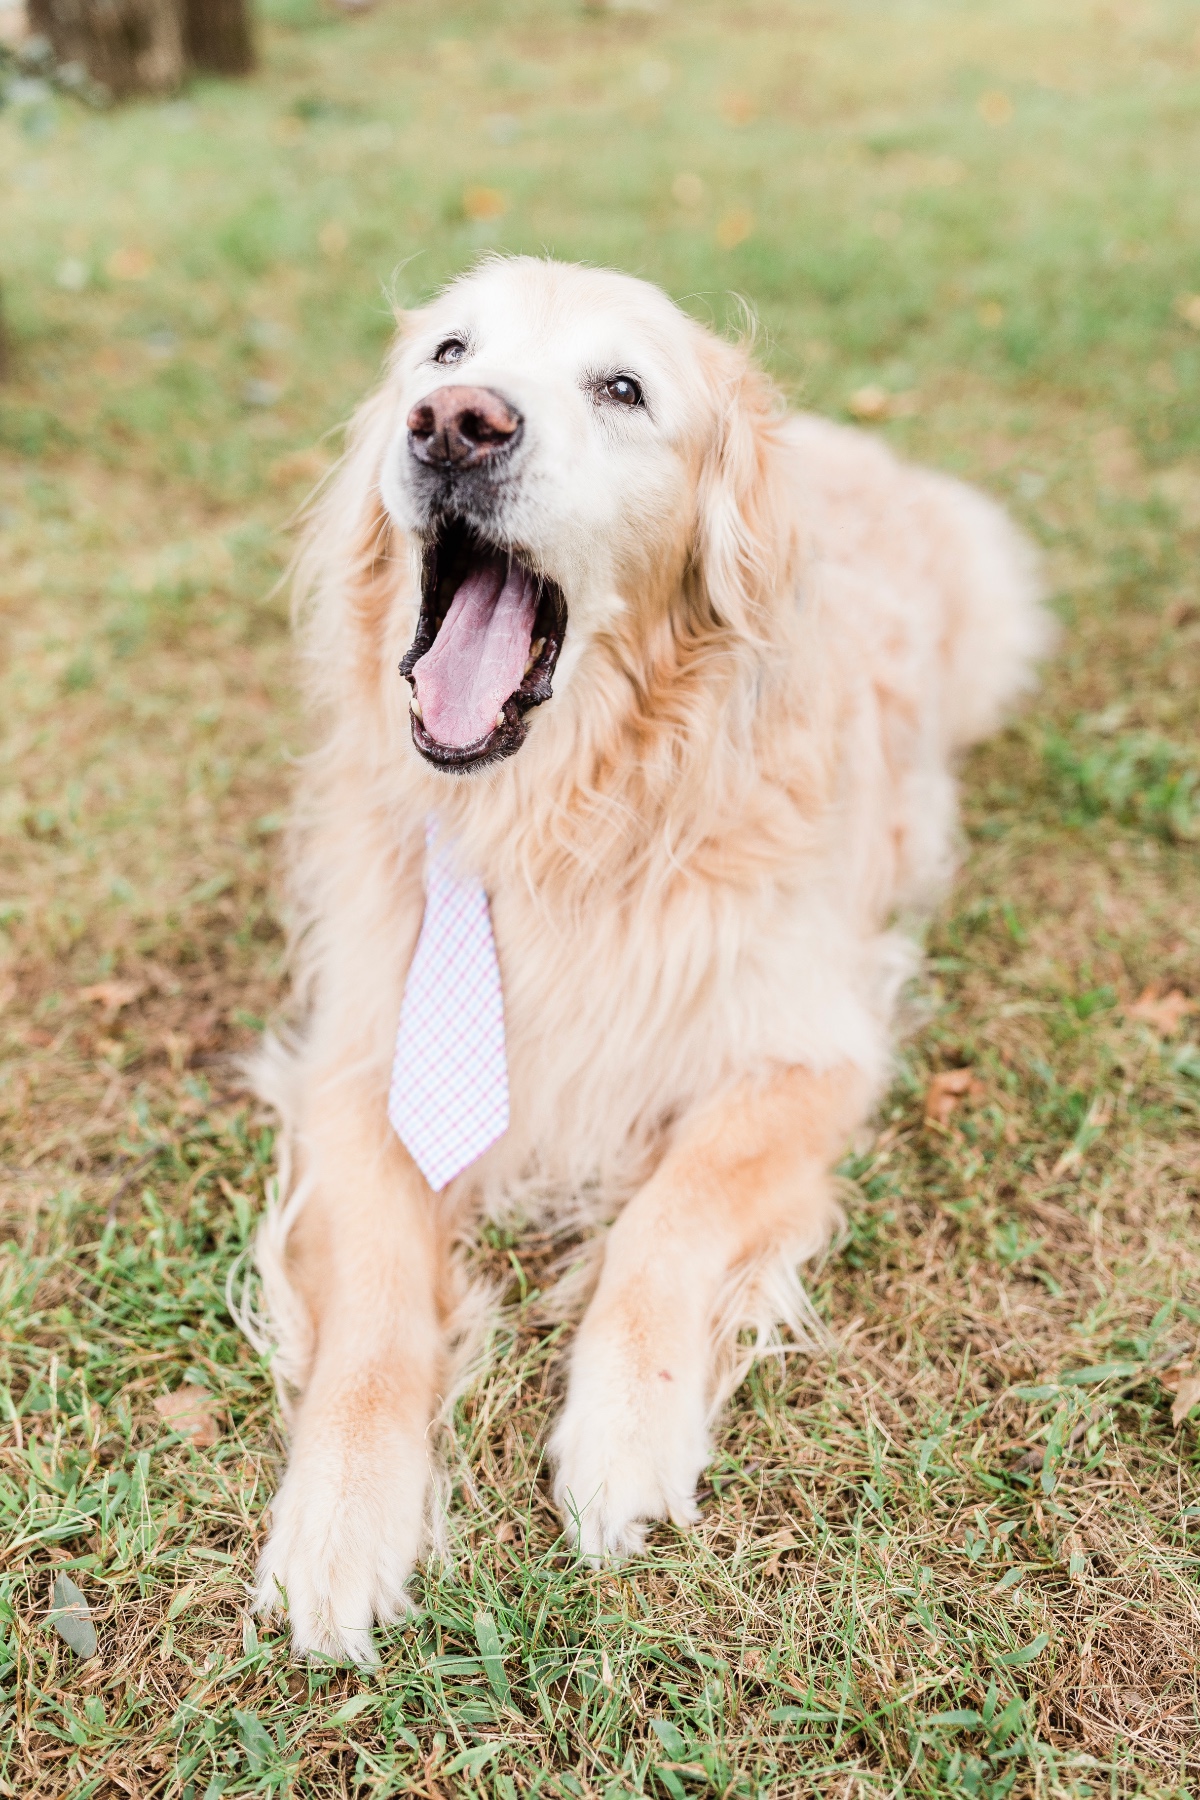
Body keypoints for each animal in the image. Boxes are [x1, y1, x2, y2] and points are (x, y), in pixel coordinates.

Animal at [246, 250, 1050, 1656]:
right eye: (447, 352)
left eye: (622, 388)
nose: (455, 423)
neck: (559, 821)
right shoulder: (360, 1062)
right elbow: (380, 1310)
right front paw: (343, 1510)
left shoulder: (803, 1052)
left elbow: (668, 1218)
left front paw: (625, 1428)